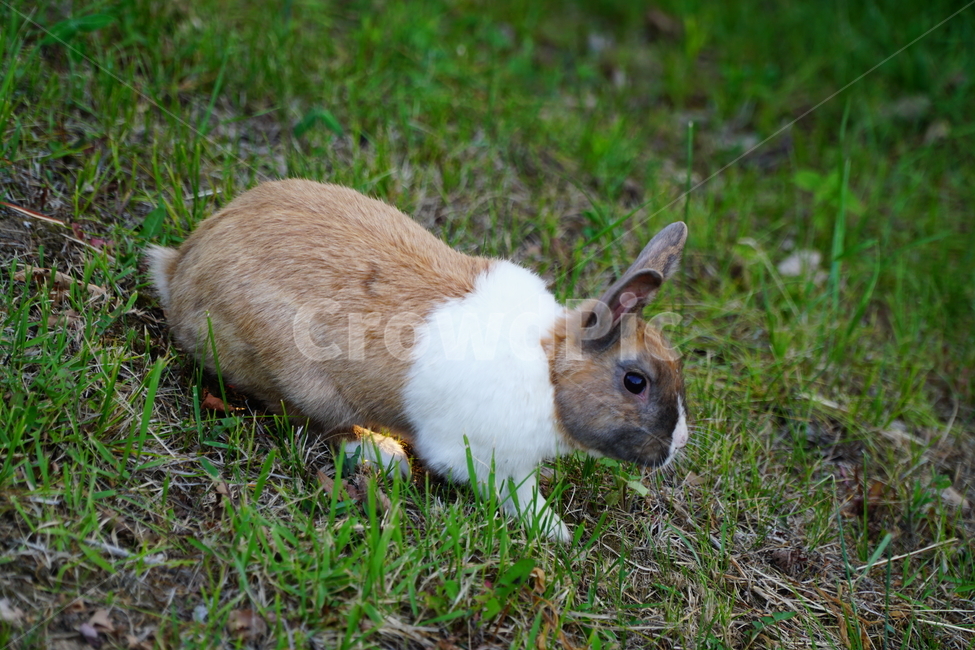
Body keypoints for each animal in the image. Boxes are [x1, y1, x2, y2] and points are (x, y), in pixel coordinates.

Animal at [146, 179, 689, 542]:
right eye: (635, 381)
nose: (680, 441)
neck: (550, 372)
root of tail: (178, 273)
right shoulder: (488, 459)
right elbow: (516, 494)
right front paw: (553, 529)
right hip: (305, 382)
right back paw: (382, 454)